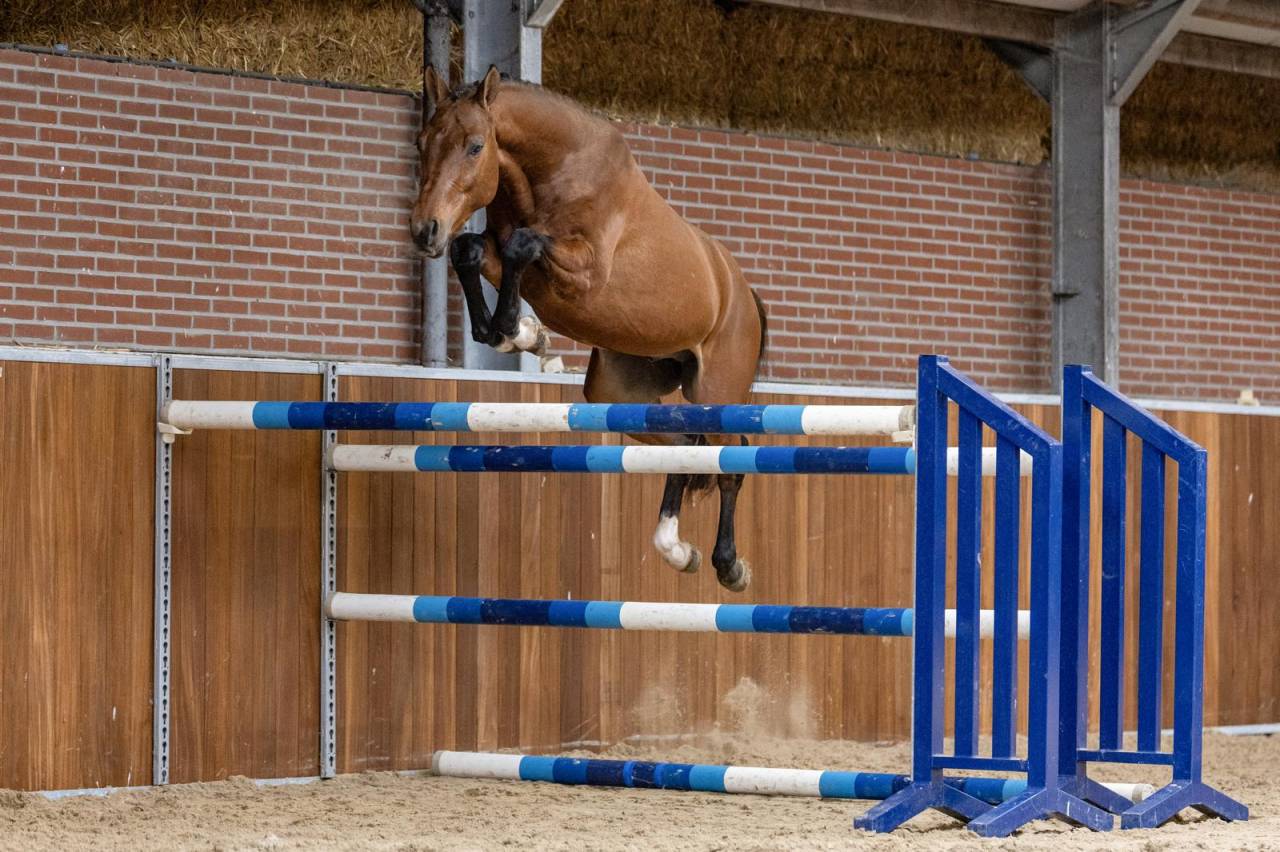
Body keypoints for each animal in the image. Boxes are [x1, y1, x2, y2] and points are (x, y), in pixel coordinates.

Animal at [409, 66, 767, 593]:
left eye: (475, 146)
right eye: (421, 143)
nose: (424, 231)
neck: (553, 171)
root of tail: (743, 294)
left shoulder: (585, 273)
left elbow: (522, 244)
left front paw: (518, 332)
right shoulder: (500, 253)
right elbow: (470, 250)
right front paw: (521, 335)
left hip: (717, 390)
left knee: (730, 459)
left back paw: (730, 566)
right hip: (617, 392)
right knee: (686, 445)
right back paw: (676, 550)